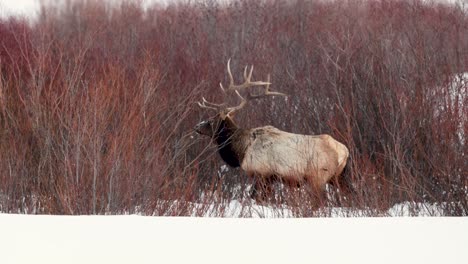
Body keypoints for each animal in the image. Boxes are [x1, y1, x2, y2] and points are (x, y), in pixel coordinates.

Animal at [192, 58, 350, 201]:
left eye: (212, 120)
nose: (197, 126)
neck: (242, 150)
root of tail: (344, 152)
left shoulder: (262, 173)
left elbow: (256, 197)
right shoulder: (270, 178)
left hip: (318, 177)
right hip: (339, 176)